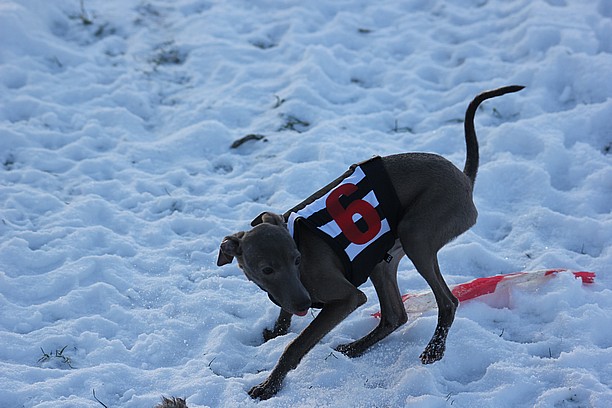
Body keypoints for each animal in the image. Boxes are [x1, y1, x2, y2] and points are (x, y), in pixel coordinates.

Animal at [218, 83, 524, 398]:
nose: (304, 302)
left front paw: (270, 385)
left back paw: (434, 349)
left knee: (447, 302)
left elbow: (297, 344)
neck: (297, 238)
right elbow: (285, 314)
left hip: (416, 234)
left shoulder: (346, 298)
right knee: (395, 315)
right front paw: (277, 331)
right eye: (267, 270)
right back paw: (356, 347)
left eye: (298, 260)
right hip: (383, 256)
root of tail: (464, 178)